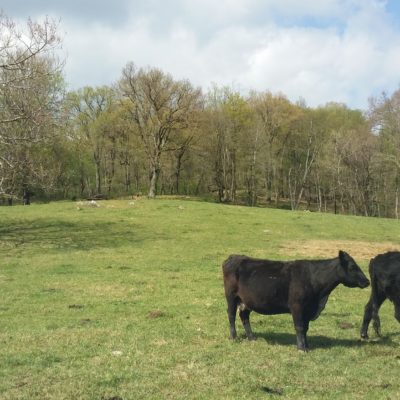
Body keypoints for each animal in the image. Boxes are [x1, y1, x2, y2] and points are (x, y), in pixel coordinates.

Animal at [222, 252, 368, 352]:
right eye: (352, 266)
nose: (367, 281)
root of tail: (234, 257)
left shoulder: (308, 309)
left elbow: (306, 328)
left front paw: (307, 346)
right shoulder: (297, 307)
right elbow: (300, 327)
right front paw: (301, 348)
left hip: (246, 301)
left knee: (244, 316)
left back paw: (252, 337)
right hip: (231, 296)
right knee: (231, 315)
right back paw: (234, 337)